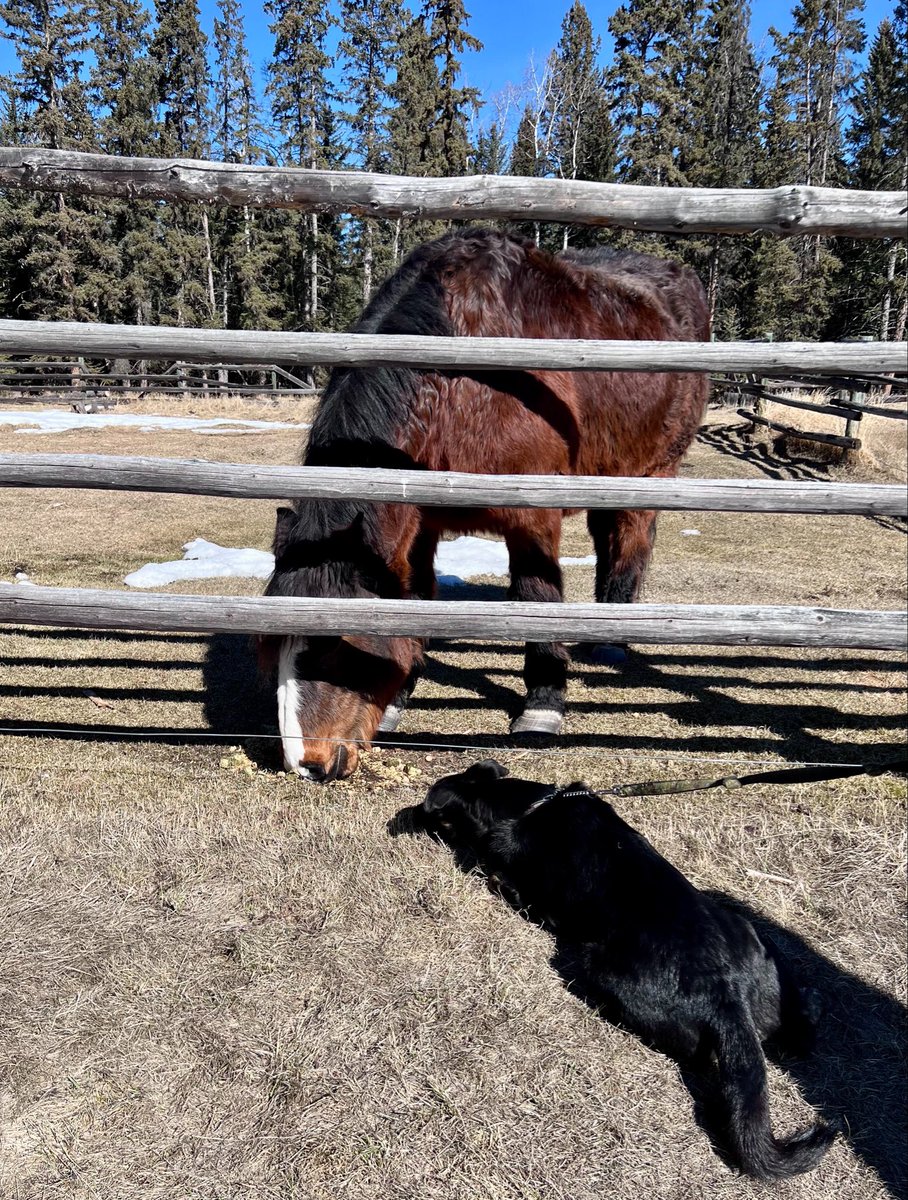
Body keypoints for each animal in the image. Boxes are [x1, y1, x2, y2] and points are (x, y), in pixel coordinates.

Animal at [260, 228, 709, 781]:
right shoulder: (421, 524)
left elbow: (537, 598)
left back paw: (611, 640)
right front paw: (398, 701)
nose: (305, 764)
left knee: (630, 542)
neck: (462, 382)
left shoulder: (533, 517)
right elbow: (416, 602)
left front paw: (542, 707)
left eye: (330, 649)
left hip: (651, 474)